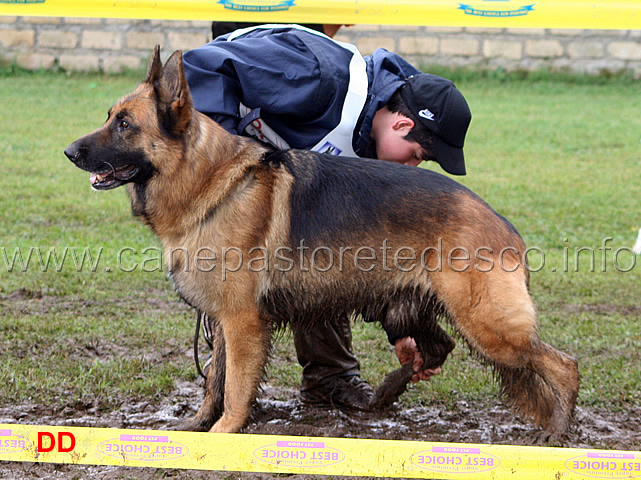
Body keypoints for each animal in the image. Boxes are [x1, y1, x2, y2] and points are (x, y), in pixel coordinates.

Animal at [66, 46, 580, 442]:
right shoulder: (223, 319)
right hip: (408, 307)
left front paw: (226, 432)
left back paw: (558, 430)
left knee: (564, 364)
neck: (211, 182)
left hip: (489, 326)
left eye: (125, 125)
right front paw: (198, 425)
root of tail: (505, 227)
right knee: (439, 347)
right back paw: (386, 391)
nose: (70, 151)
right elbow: (214, 379)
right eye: (110, 118)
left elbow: (235, 385)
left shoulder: (241, 320)